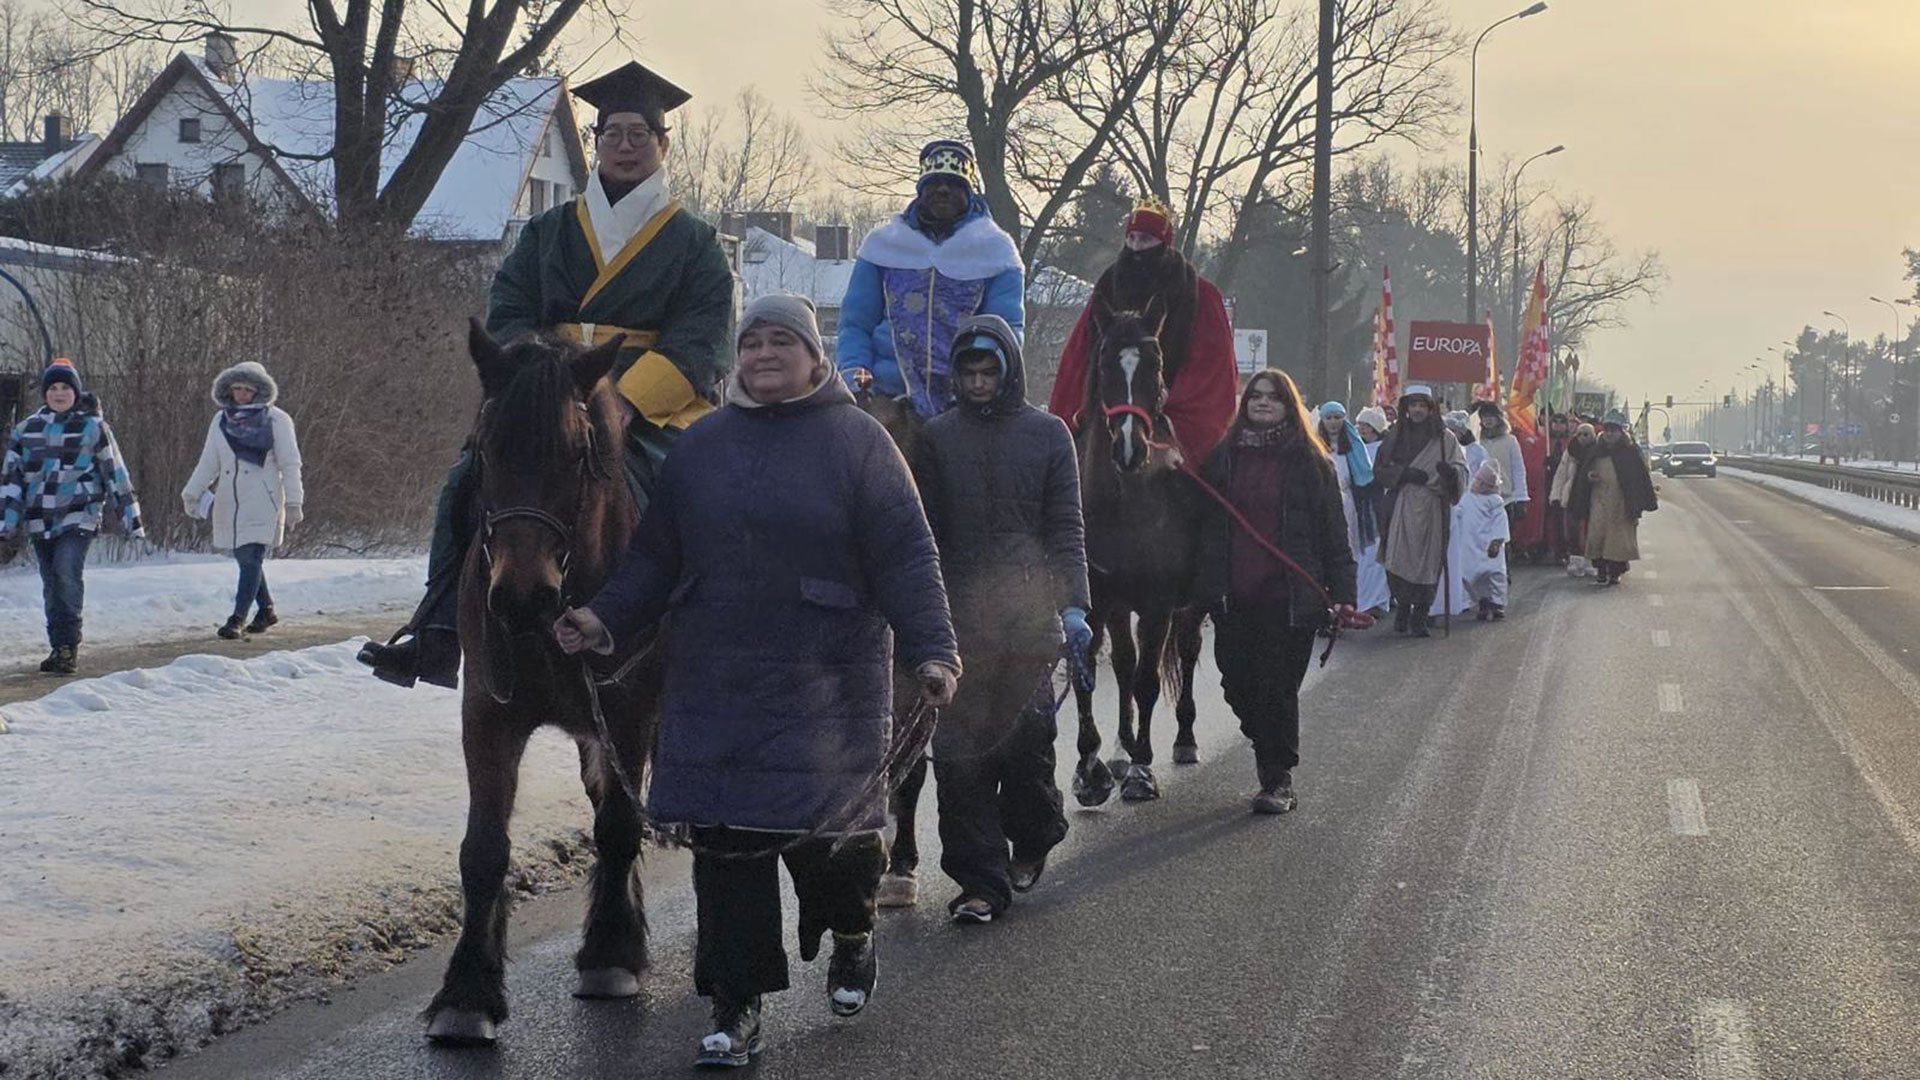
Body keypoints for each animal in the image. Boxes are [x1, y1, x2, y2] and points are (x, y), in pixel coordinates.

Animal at [423, 322, 666, 1045]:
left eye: (578, 452)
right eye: (484, 446)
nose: (522, 597)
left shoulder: (630, 710)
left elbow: (618, 825)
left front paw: (610, 952)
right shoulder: (488, 713)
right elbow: (483, 849)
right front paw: (468, 990)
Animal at [1071, 300, 1205, 806]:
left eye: (1156, 366)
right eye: (1105, 365)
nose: (1130, 449)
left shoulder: (1157, 603)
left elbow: (1147, 679)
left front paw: (1142, 769)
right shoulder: (1096, 602)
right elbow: (1092, 671)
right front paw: (1090, 767)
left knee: (1186, 649)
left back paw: (1182, 738)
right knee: (1124, 663)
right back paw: (1120, 748)